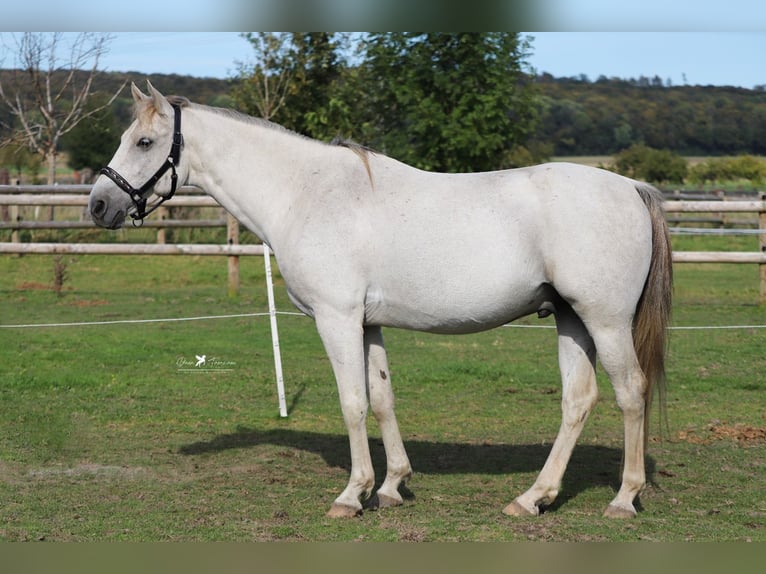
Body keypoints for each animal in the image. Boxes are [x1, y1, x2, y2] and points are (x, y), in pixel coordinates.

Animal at [90, 82, 672, 520]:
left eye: (145, 142)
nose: (98, 205)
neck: (306, 193)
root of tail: (632, 188)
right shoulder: (367, 324)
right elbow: (383, 398)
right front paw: (392, 486)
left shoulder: (337, 319)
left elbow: (353, 403)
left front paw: (353, 494)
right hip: (571, 319)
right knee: (578, 400)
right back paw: (533, 498)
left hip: (605, 321)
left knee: (631, 392)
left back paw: (623, 499)